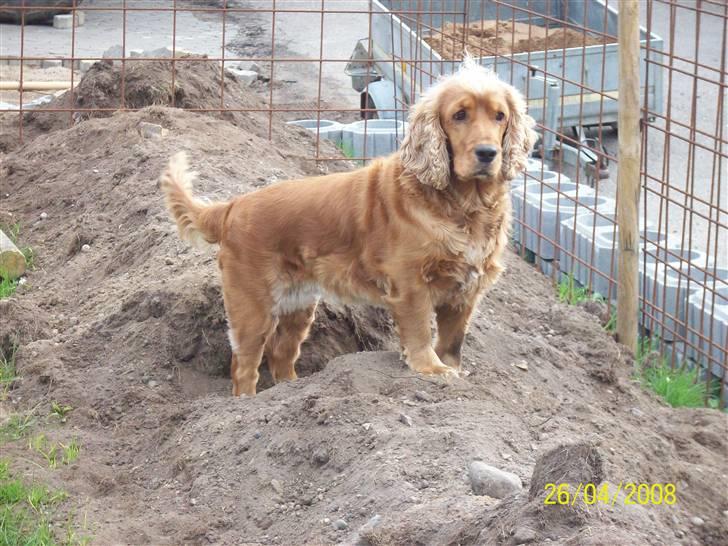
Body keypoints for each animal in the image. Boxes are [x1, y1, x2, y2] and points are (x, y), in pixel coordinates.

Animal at [162, 57, 536, 394]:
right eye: (459, 115)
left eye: (499, 116)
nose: (487, 153)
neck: (464, 205)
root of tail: (232, 206)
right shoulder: (411, 284)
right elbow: (419, 331)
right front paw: (430, 369)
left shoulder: (465, 290)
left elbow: (453, 341)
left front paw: (452, 369)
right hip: (252, 306)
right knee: (244, 366)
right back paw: (248, 404)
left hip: (299, 304)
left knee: (282, 354)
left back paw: (293, 390)